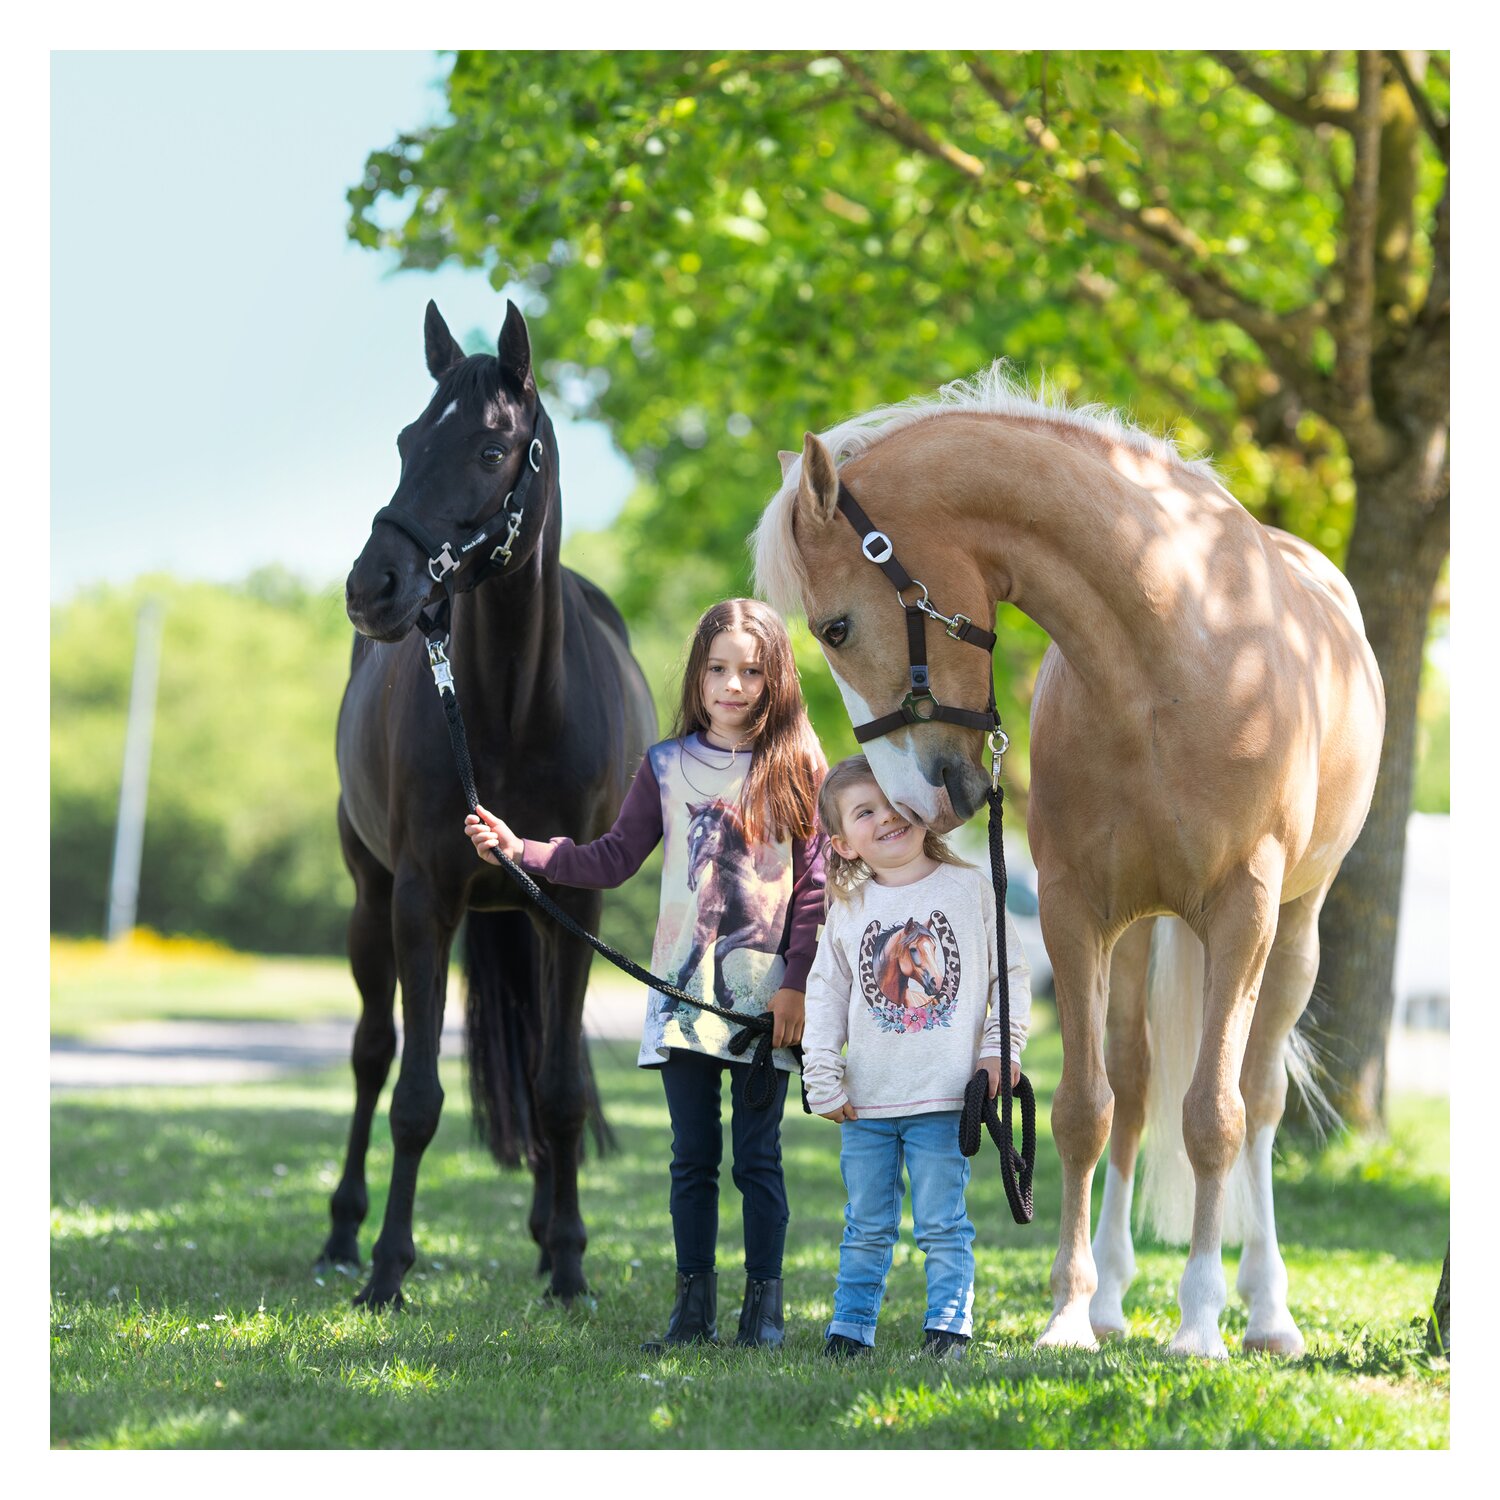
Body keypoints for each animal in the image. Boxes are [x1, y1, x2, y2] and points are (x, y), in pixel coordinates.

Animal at [323, 299, 655, 1309]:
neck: (511, 706)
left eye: (490, 447)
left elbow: (560, 1092)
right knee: (371, 1054)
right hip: (369, 905)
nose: (372, 587)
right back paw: (341, 1235)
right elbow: (414, 1096)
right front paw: (388, 1269)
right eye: (405, 440)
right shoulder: (422, 901)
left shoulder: (575, 906)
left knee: (549, 1069)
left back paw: (547, 1238)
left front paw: (572, 1266)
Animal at [754, 366, 1383, 1358]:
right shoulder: (1075, 913)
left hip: (1292, 934)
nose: (918, 799)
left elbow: (1216, 1117)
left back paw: (1265, 1310)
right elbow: (1084, 1110)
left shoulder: (1243, 910)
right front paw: (1069, 1313)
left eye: (839, 626)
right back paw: (1118, 1297)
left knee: (1259, 1095)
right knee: (1134, 1083)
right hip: (1140, 937)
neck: (1176, 657)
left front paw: (1199, 1323)